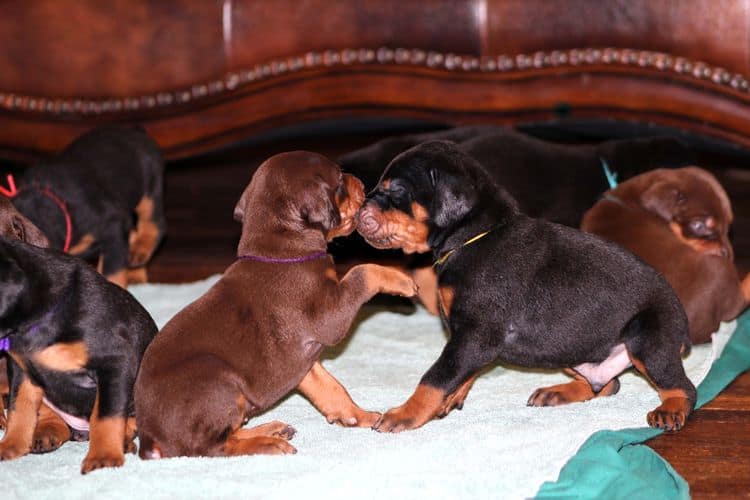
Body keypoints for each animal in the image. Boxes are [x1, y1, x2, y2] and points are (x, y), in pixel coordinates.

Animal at [0, 236, 157, 474]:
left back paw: (124, 441)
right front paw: (10, 446)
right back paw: (46, 434)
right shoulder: (21, 370)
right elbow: (19, 410)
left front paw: (104, 457)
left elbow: (105, 415)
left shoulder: (115, 362)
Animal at [7, 127, 167, 288]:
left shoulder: (112, 226)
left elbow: (113, 272)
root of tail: (135, 129)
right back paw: (136, 274)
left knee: (152, 222)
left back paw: (140, 250)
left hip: (149, 185)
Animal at [135, 151, 418, 458]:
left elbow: (330, 387)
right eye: (340, 181)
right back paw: (267, 442)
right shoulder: (329, 315)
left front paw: (357, 415)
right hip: (217, 379)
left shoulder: (300, 359)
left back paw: (270, 429)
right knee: (213, 446)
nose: (361, 183)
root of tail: (148, 439)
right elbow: (361, 271)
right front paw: (402, 279)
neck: (281, 253)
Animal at [358, 141, 700, 434]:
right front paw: (451, 399)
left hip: (646, 340)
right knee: (606, 385)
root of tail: (683, 325)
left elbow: (438, 375)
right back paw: (557, 392)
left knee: (682, 386)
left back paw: (670, 409)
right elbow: (462, 371)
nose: (359, 210)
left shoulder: (476, 332)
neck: (475, 236)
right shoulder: (472, 337)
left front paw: (405, 414)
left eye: (397, 190)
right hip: (568, 349)